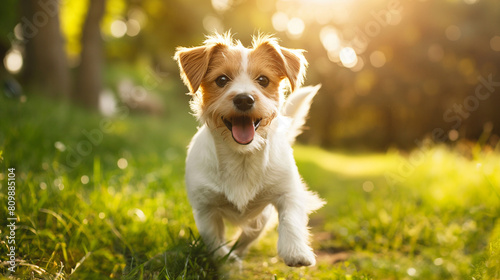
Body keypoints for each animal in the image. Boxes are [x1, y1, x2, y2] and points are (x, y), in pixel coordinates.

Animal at [175, 32, 324, 266]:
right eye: (222, 80)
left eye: (263, 80)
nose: (244, 99)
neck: (242, 157)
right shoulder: (205, 208)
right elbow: (214, 239)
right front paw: (225, 261)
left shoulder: (288, 192)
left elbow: (290, 218)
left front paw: (295, 252)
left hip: (262, 215)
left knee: (251, 232)